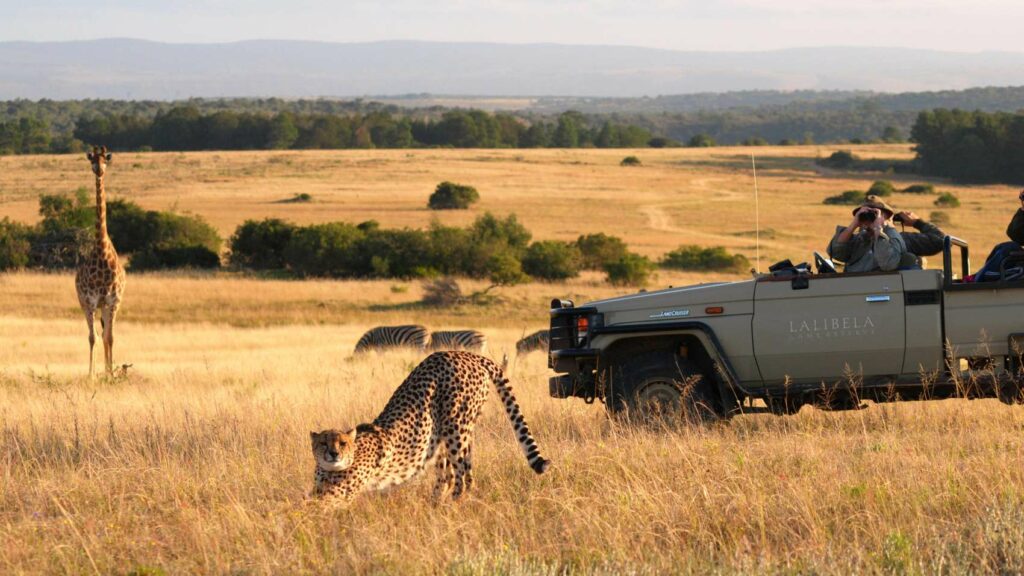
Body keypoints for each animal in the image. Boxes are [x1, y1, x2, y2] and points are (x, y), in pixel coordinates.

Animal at [311, 348, 552, 500]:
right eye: (323, 443)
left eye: (342, 443)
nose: (333, 454)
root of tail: (467, 354)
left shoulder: (337, 496)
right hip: (444, 434)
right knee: (452, 476)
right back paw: (435, 505)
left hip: (456, 428)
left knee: (461, 476)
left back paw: (453, 506)